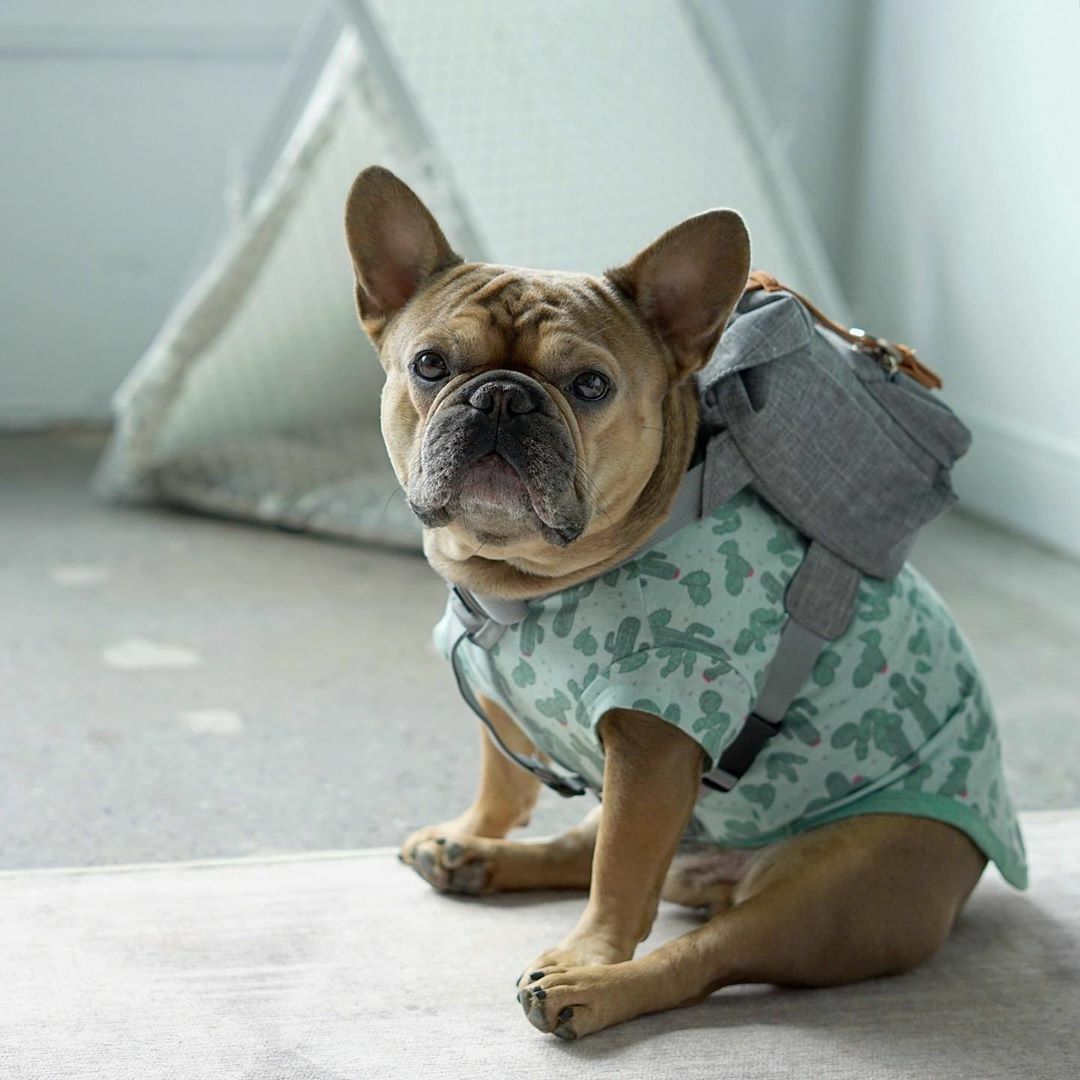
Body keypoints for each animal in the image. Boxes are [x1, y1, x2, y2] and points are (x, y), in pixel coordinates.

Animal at [341, 166, 1023, 1036]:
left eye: (590, 386)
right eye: (429, 365)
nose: (501, 398)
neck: (524, 585)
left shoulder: (652, 742)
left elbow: (621, 872)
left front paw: (591, 956)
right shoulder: (503, 698)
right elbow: (505, 781)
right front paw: (475, 829)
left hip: (833, 887)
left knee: (692, 950)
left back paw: (590, 985)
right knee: (584, 852)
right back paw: (479, 860)